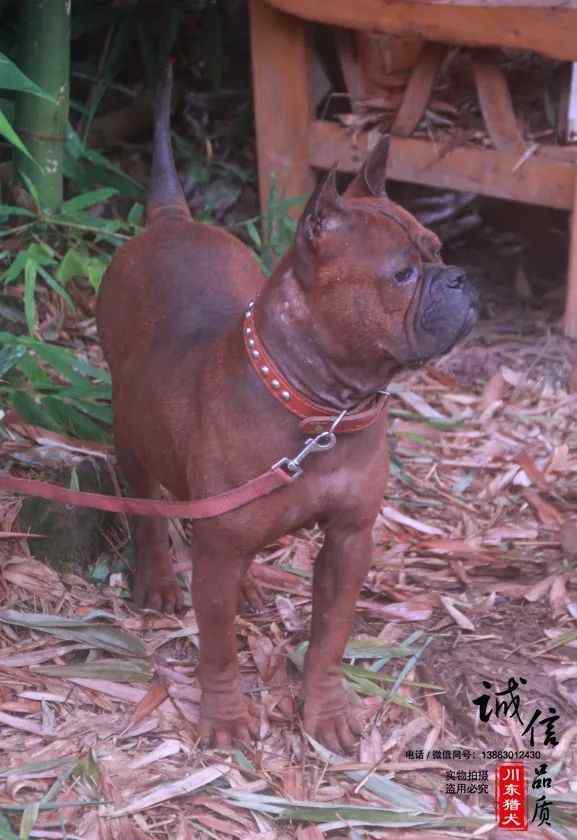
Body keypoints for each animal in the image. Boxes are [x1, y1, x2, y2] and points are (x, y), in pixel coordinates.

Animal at [97, 64, 476, 748]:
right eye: (403, 274)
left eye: (438, 249)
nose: (462, 278)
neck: (320, 409)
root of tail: (170, 219)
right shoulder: (222, 549)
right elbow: (219, 648)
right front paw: (225, 718)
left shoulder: (350, 541)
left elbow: (329, 638)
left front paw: (324, 712)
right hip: (133, 433)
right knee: (147, 510)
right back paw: (159, 579)